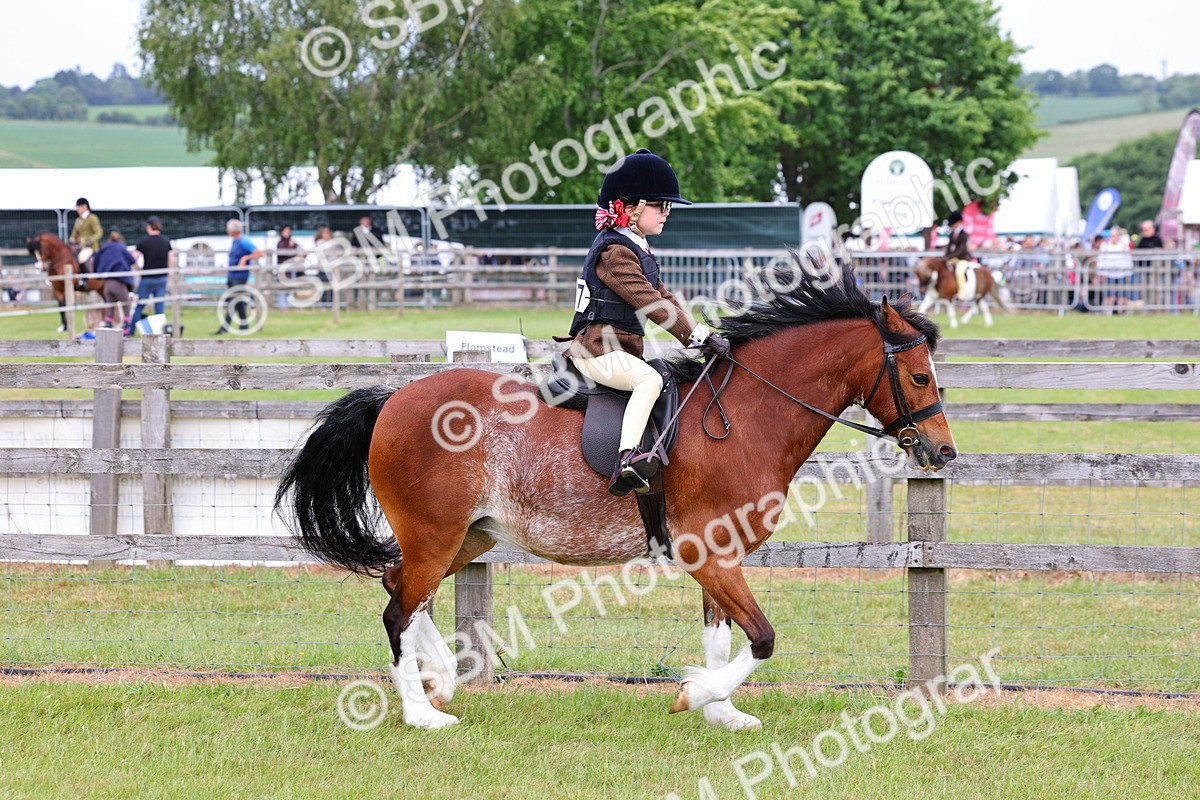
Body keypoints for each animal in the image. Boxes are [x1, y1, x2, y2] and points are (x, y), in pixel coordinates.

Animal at [274, 257, 958, 731]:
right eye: (919, 377)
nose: (943, 453)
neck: (747, 414)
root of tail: (393, 400)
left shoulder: (719, 556)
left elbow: (721, 637)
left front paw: (722, 713)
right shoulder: (708, 553)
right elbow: (760, 638)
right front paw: (695, 695)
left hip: (468, 537)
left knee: (403, 593)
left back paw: (441, 681)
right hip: (435, 533)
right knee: (399, 608)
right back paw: (424, 714)